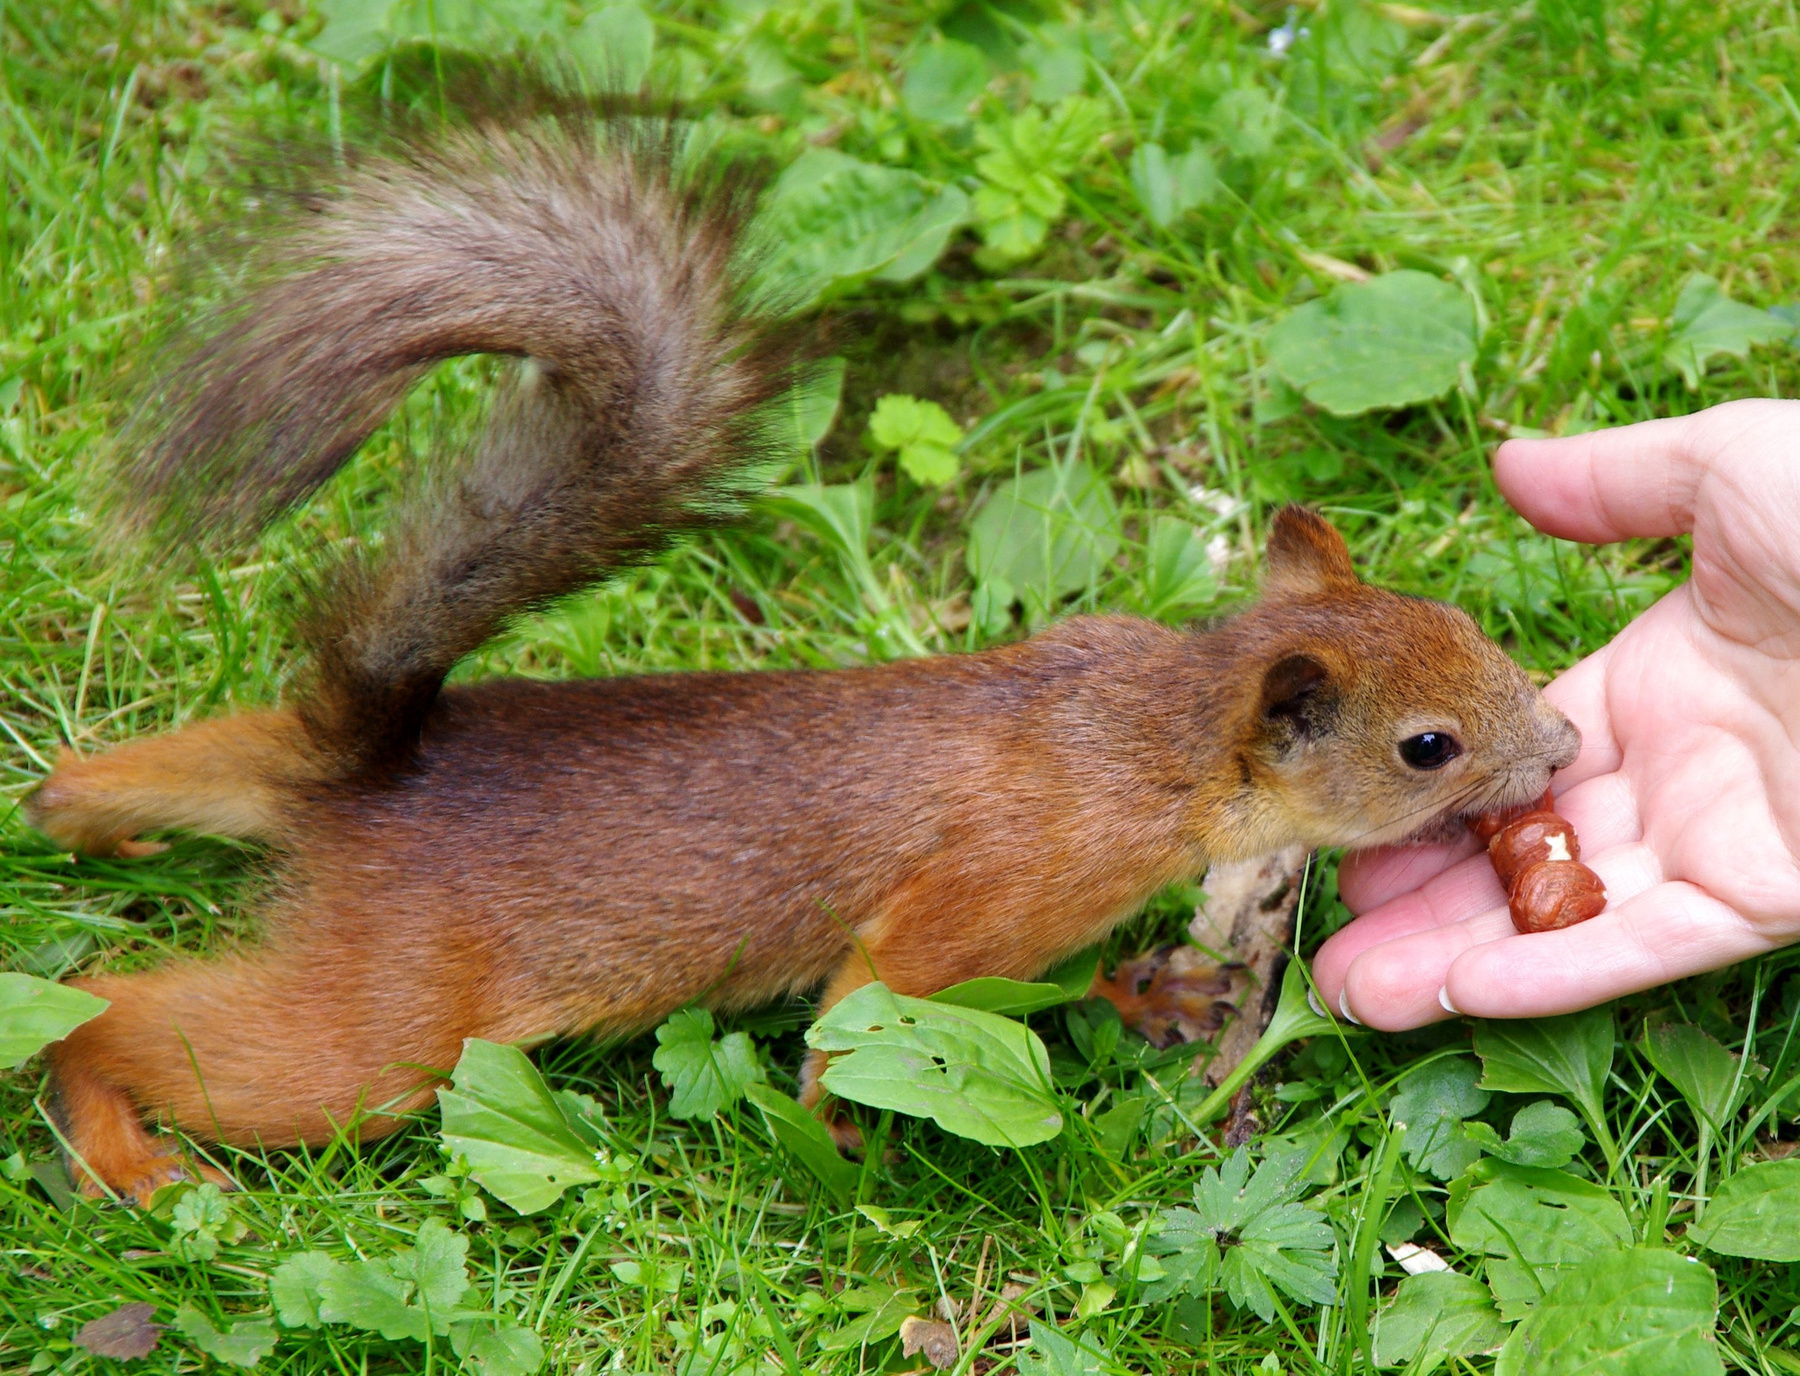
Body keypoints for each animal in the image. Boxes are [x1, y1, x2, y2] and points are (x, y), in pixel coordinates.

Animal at [25, 109, 1580, 1204]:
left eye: (1473, 630)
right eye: (1426, 746)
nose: (1562, 748)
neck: (1156, 730)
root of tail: (359, 778)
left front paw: (1150, 993)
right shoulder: (1002, 887)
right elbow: (870, 1014)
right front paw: (843, 1150)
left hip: (275, 799)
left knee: (155, 774)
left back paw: (83, 817)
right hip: (380, 1029)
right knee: (114, 1024)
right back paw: (127, 1147)